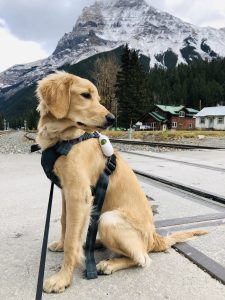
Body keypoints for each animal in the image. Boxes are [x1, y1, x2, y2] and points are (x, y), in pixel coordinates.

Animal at [36, 72, 207, 292]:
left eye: (96, 97)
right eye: (85, 95)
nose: (112, 119)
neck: (64, 139)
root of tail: (155, 239)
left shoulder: (79, 194)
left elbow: (72, 241)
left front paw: (63, 279)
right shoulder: (66, 191)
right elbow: (66, 223)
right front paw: (60, 244)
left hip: (108, 219)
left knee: (142, 258)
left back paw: (108, 264)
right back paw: (94, 243)